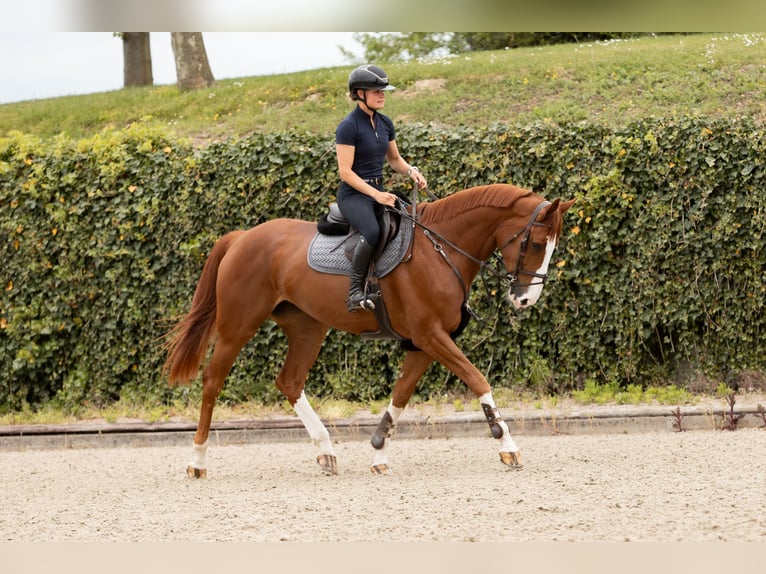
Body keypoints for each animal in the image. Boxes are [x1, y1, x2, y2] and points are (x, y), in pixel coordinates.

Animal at [164, 183, 576, 476]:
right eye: (535, 243)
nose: (526, 300)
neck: (441, 250)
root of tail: (243, 236)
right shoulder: (431, 336)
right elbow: (478, 380)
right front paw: (507, 445)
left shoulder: (423, 344)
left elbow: (401, 394)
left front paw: (378, 449)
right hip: (238, 326)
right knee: (212, 382)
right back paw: (198, 461)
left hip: (307, 328)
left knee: (290, 381)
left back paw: (325, 451)